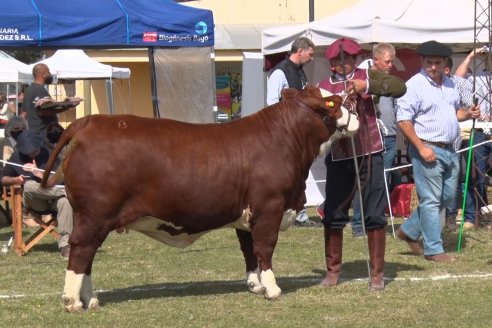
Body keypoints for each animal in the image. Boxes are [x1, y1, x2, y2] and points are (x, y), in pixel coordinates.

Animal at [42, 84, 358, 310]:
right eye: (333, 103)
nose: (355, 108)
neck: (286, 139)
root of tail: (89, 121)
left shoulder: (247, 215)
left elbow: (249, 250)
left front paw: (255, 285)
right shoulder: (270, 206)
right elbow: (265, 248)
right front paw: (272, 288)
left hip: (93, 217)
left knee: (87, 255)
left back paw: (91, 300)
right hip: (95, 215)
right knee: (81, 250)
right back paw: (73, 301)